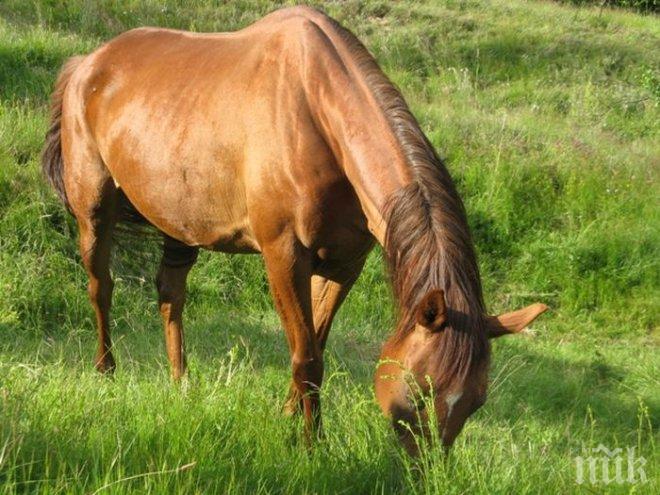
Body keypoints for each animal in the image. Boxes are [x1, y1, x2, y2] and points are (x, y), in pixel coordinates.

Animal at [41, 5, 548, 454]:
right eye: (418, 390)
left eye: (476, 401)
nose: (424, 471)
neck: (316, 110)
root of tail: (87, 63)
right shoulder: (283, 254)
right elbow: (306, 355)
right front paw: (310, 445)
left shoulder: (344, 263)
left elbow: (316, 344)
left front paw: (289, 421)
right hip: (94, 210)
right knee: (100, 287)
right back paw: (106, 372)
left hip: (179, 224)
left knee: (170, 294)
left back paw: (181, 384)